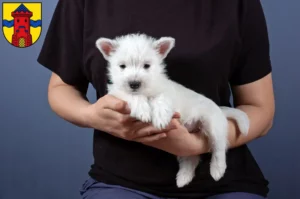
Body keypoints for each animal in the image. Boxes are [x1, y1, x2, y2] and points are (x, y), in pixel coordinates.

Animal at [95, 33, 250, 188]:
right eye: (122, 66)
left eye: (146, 66)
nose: (134, 84)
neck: (146, 91)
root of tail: (220, 110)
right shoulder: (117, 93)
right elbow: (132, 96)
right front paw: (142, 110)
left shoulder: (165, 91)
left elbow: (161, 99)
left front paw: (161, 118)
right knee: (191, 158)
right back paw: (183, 178)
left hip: (213, 124)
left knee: (219, 146)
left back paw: (217, 169)